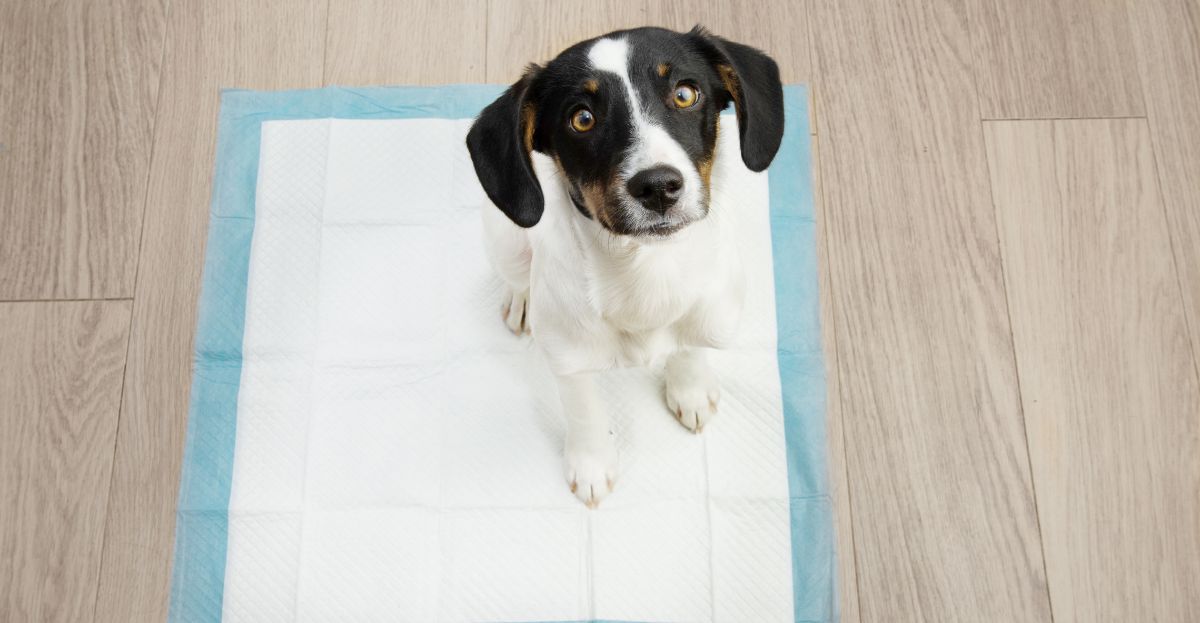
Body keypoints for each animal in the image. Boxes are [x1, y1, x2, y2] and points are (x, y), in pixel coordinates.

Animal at [463, 26, 782, 508]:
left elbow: (690, 347)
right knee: (517, 274)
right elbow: (584, 410)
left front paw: (690, 389)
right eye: (581, 118)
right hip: (505, 238)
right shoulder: (569, 360)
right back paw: (521, 300)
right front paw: (591, 465)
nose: (658, 187)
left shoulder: (709, 313)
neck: (647, 270)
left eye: (685, 94)